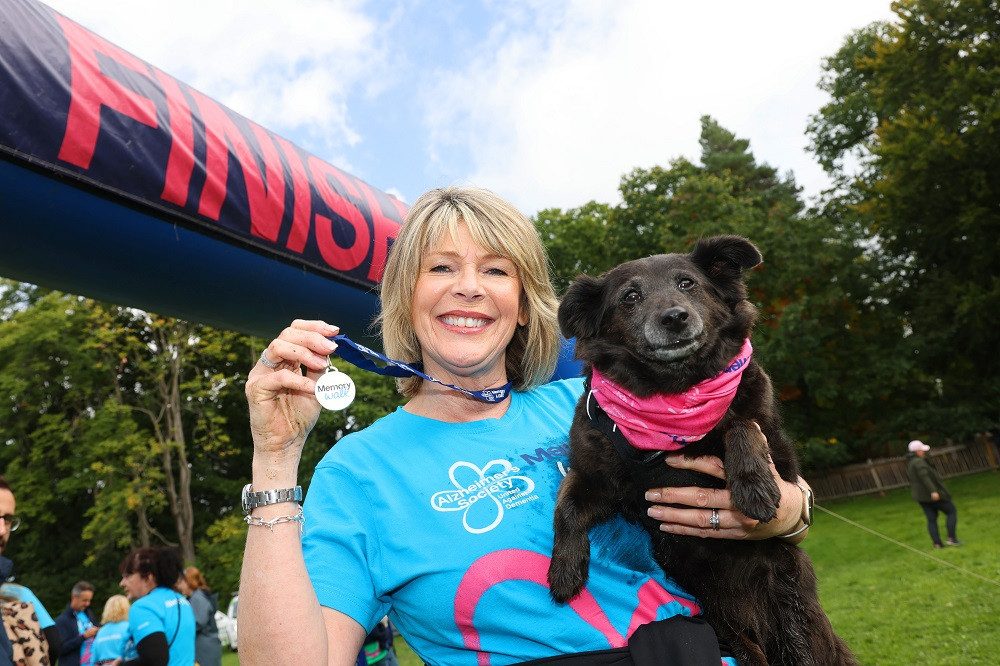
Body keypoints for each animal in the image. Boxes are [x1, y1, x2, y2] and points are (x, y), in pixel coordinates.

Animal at [552, 236, 856, 660]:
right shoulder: (597, 478)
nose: (674, 317)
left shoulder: (779, 453)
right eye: (631, 297)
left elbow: (741, 424)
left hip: (794, 616)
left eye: (687, 283)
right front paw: (563, 569)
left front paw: (754, 487)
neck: (674, 395)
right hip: (724, 621)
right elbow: (566, 508)